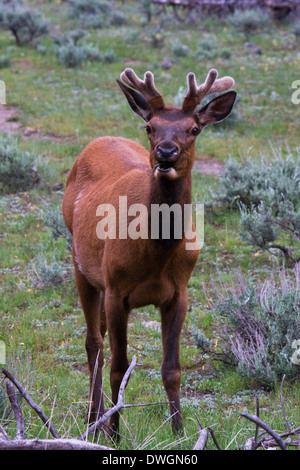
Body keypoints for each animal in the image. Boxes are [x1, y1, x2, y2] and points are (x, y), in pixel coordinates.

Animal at [62, 67, 237, 436]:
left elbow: (172, 369)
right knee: (93, 342)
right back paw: (93, 419)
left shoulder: (179, 293)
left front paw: (179, 430)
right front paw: (114, 433)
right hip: (81, 265)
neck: (155, 254)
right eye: (150, 127)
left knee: (97, 336)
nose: (166, 153)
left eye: (194, 129)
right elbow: (119, 367)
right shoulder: (117, 291)